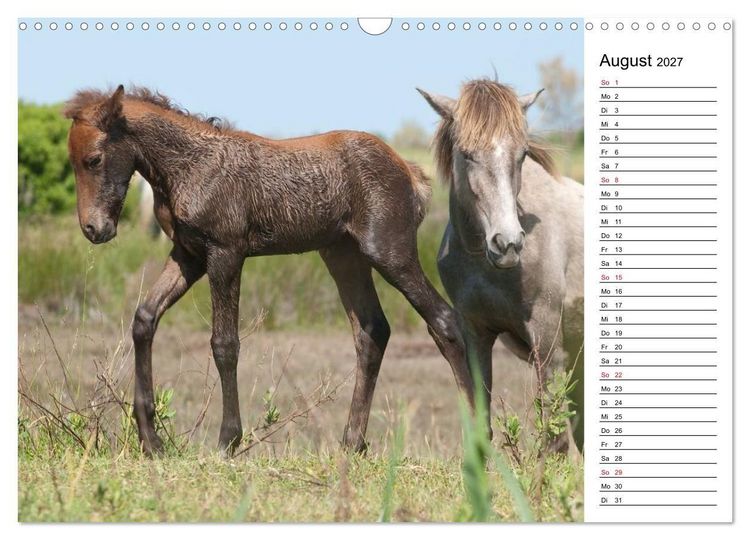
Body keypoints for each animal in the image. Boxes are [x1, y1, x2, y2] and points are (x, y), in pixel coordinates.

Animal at [63, 85, 476, 456]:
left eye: (94, 159)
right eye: (73, 160)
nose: (93, 228)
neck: (191, 166)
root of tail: (410, 171)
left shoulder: (226, 253)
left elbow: (225, 344)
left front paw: (227, 441)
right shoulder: (188, 255)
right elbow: (145, 319)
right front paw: (151, 441)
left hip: (389, 253)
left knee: (444, 320)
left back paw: (477, 441)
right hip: (343, 256)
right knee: (372, 331)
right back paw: (352, 443)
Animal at [417, 79, 584, 450]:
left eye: (521, 154)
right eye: (466, 154)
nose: (507, 243)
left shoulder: (547, 340)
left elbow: (553, 438)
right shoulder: (476, 334)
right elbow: (481, 426)